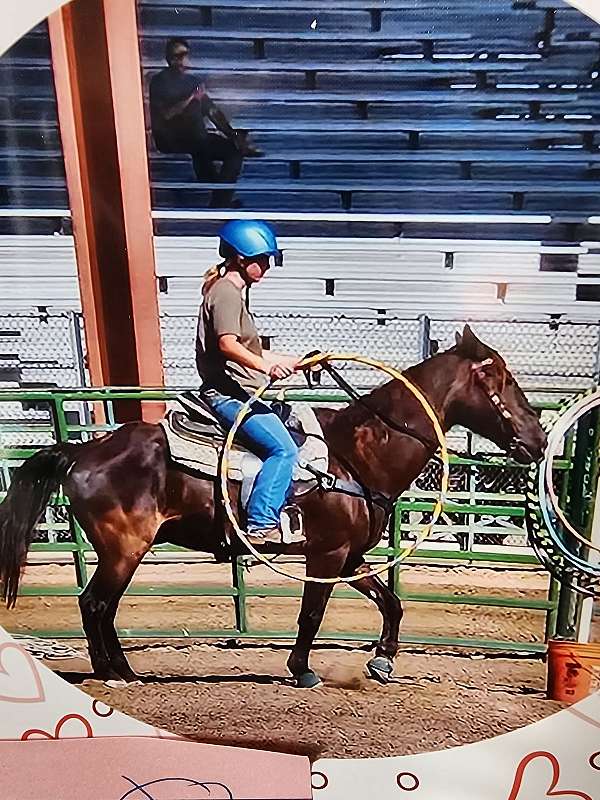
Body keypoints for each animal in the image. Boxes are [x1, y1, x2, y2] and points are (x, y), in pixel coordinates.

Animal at [0, 324, 544, 688]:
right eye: (503, 381)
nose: (538, 441)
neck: (356, 455)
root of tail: (82, 450)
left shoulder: (351, 555)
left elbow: (391, 602)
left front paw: (382, 661)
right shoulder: (325, 556)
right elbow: (311, 617)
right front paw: (302, 671)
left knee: (104, 607)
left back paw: (124, 669)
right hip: (123, 549)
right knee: (95, 604)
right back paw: (112, 674)